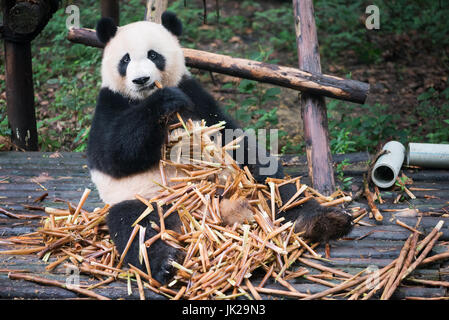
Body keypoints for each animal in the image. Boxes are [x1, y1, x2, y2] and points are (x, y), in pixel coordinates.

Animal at [87, 11, 354, 284]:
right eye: (125, 59)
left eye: (153, 55)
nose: (141, 80)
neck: (141, 97)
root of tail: (212, 212)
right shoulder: (110, 102)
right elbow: (112, 153)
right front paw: (164, 101)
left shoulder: (195, 93)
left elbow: (231, 135)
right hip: (149, 200)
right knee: (137, 227)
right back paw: (168, 263)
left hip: (243, 184)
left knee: (278, 187)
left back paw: (323, 221)